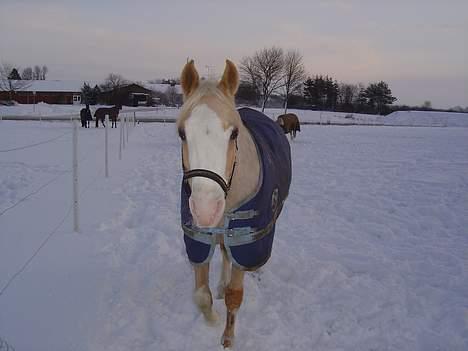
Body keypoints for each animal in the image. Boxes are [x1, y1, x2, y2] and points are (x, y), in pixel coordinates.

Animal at [177, 59, 290, 348]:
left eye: (234, 133)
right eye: (181, 133)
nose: (206, 209)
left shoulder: (243, 240)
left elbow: (234, 295)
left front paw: (227, 338)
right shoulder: (199, 239)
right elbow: (201, 295)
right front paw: (212, 319)